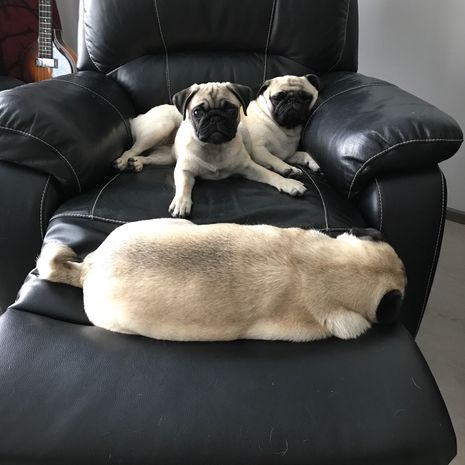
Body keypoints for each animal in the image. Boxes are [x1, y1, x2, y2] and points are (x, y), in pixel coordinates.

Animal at [113, 82, 307, 218]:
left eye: (231, 110)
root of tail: (138, 117)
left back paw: (136, 163)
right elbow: (183, 186)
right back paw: (123, 161)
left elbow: (271, 175)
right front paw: (181, 203)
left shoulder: (249, 168)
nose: (215, 118)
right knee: (131, 150)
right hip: (160, 128)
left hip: (166, 156)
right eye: (197, 112)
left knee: (149, 157)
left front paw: (289, 184)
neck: (215, 148)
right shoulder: (184, 170)